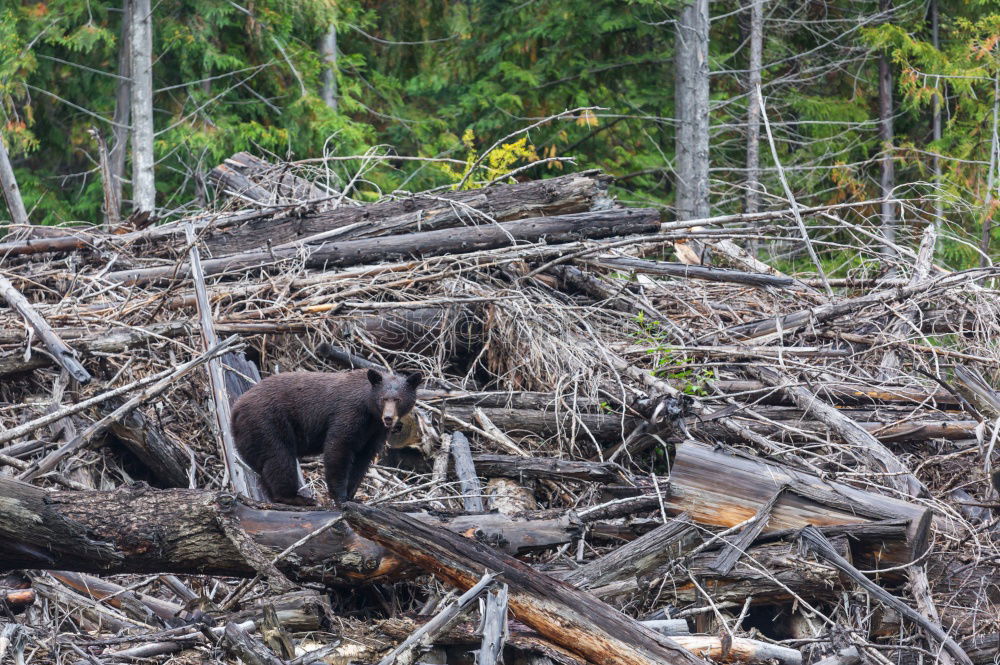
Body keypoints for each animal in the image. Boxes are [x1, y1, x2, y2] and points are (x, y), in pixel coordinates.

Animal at [230, 368, 422, 504]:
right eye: (383, 398)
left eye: (398, 399)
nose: (388, 418)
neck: (370, 411)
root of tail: (235, 409)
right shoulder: (349, 413)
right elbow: (339, 447)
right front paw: (340, 496)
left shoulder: (374, 431)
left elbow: (363, 458)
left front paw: (352, 495)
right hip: (266, 422)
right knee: (279, 457)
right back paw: (295, 497)